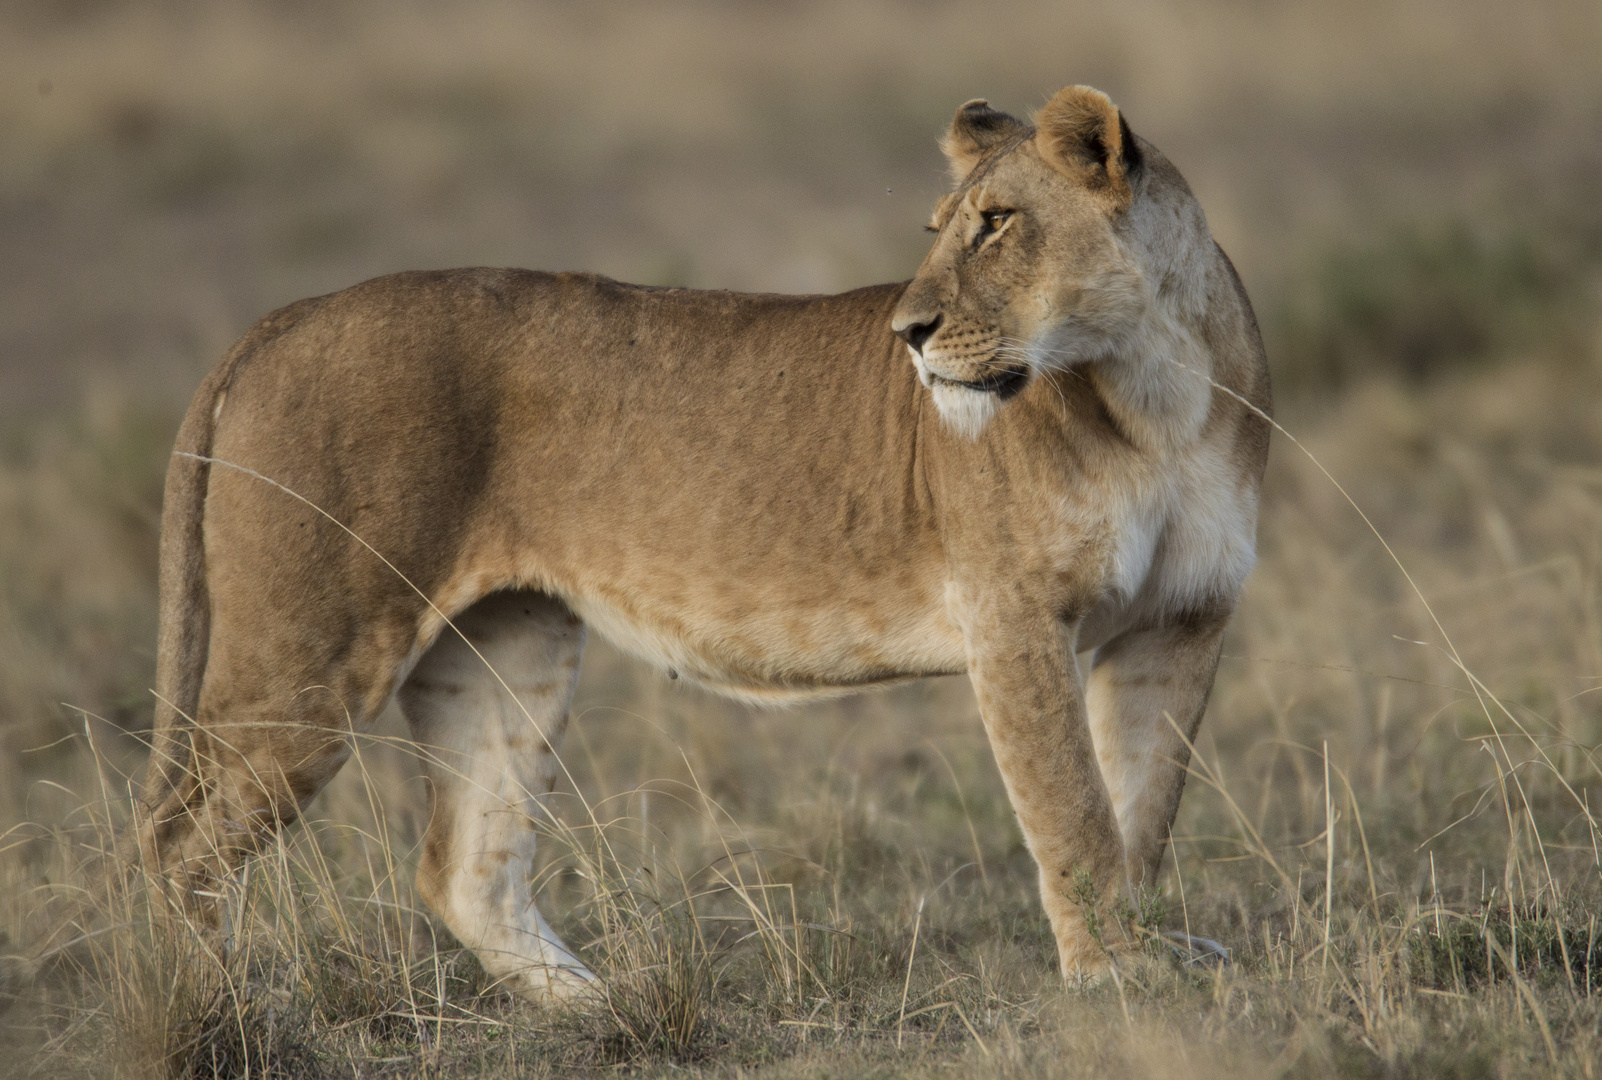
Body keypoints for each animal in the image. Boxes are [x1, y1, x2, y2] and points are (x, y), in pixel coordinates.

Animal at [128, 86, 1262, 999]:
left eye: (999, 224)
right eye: (942, 227)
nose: (908, 333)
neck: (1151, 393)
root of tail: (280, 318)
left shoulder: (1180, 621)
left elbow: (1139, 803)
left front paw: (1152, 951)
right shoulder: (1013, 618)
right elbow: (1073, 810)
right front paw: (1113, 973)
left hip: (508, 648)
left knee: (463, 869)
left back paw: (599, 1004)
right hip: (315, 652)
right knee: (178, 841)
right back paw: (217, 1010)